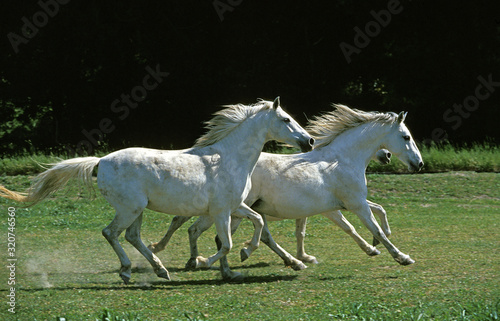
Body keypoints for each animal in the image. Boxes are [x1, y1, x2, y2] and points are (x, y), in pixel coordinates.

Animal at [0, 97, 312, 282]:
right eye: (285, 119)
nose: (308, 140)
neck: (229, 158)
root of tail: (100, 161)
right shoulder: (222, 211)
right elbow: (226, 244)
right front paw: (203, 262)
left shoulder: (235, 206)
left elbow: (256, 223)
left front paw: (237, 262)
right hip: (130, 208)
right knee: (111, 233)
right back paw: (129, 271)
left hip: (137, 210)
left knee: (132, 236)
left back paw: (159, 269)